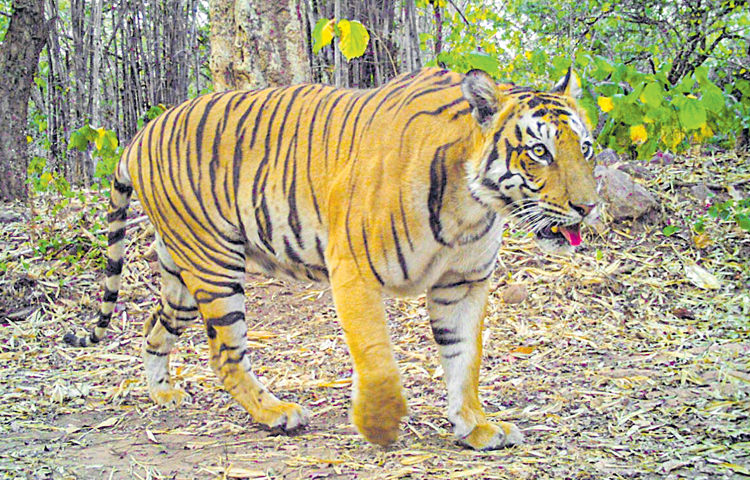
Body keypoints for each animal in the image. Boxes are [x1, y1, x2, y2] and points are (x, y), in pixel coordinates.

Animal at [65, 67, 599, 450]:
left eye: (587, 148)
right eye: (539, 152)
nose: (589, 207)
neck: (472, 207)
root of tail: (140, 133)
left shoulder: (463, 284)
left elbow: (464, 359)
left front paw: (476, 426)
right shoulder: (355, 270)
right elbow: (378, 360)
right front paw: (381, 427)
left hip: (180, 274)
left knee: (153, 327)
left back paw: (163, 392)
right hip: (214, 266)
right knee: (225, 353)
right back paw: (276, 414)